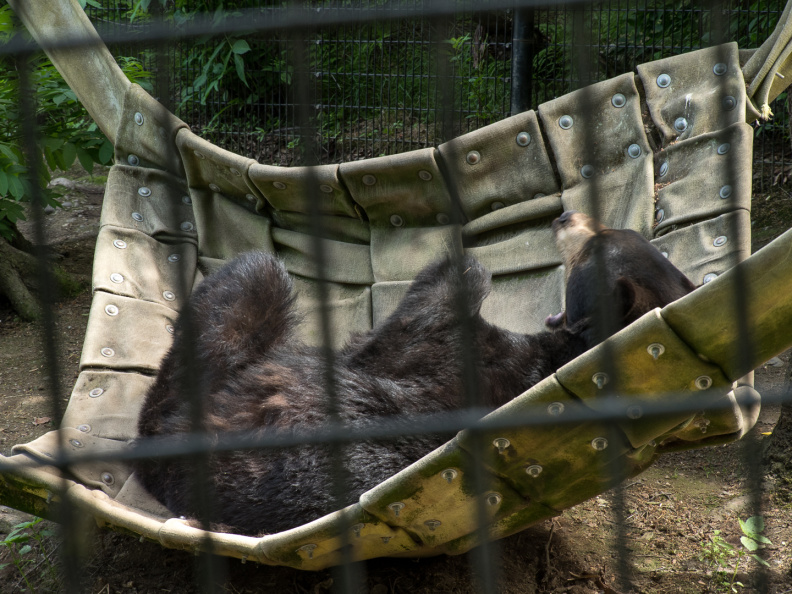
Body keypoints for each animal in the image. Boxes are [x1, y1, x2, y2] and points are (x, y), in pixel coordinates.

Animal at [135, 210, 696, 535]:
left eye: (599, 239)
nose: (563, 214)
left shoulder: (445, 354)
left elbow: (439, 298)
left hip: (193, 402)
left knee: (256, 273)